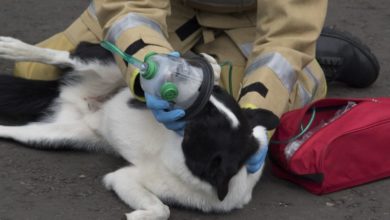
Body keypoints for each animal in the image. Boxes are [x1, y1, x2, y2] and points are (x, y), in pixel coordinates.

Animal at [0, 37, 278, 219]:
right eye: (216, 94)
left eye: (203, 124)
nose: (205, 85)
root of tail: (70, 94)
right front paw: (212, 66)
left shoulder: (125, 178)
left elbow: (163, 209)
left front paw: (138, 215)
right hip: (111, 66)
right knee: (63, 57)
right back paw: (12, 47)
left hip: (57, 135)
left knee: (15, 130)